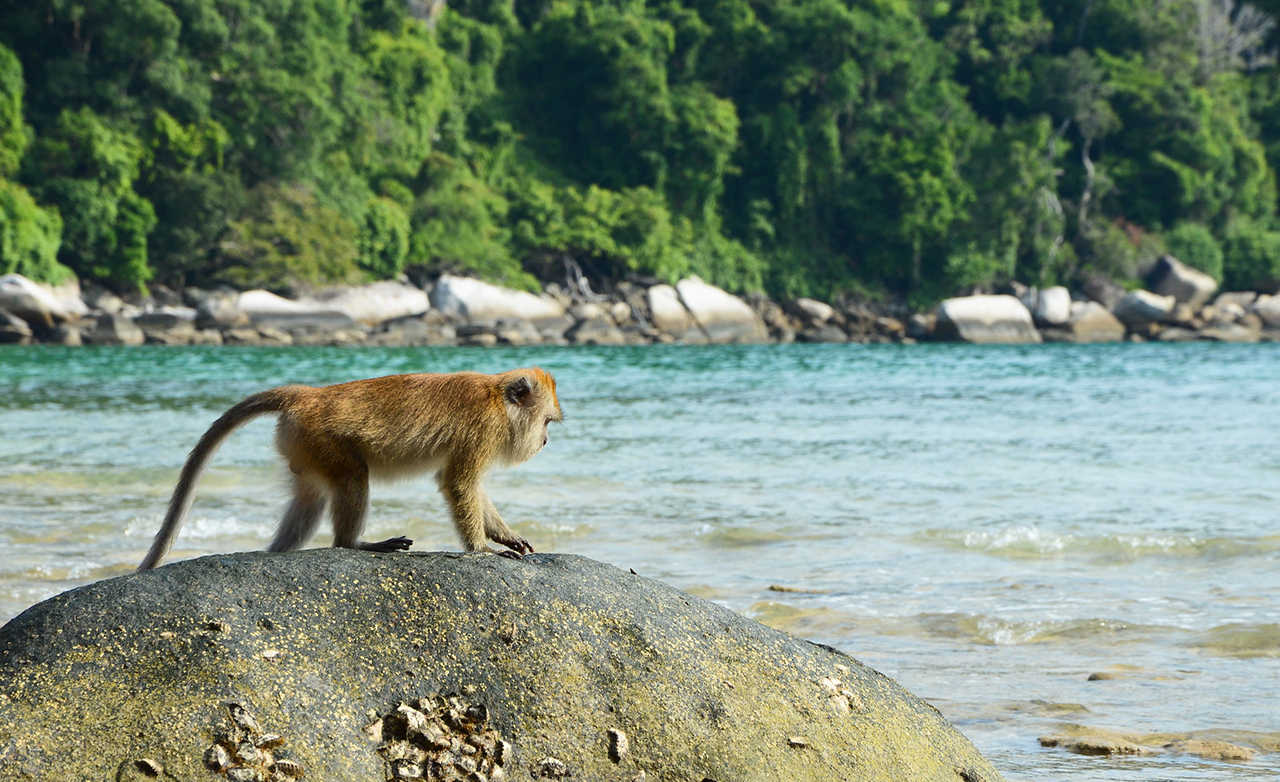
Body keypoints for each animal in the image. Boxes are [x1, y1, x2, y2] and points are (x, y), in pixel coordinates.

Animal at [137, 366, 563, 568]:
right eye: (546, 421)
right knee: (353, 478)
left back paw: (278, 551)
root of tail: (308, 395)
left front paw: (505, 537)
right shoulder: (482, 430)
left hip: (302, 446)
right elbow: (458, 483)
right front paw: (482, 550)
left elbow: (469, 486)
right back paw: (354, 543)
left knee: (310, 497)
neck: (498, 398)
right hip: (322, 440)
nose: (545, 441)